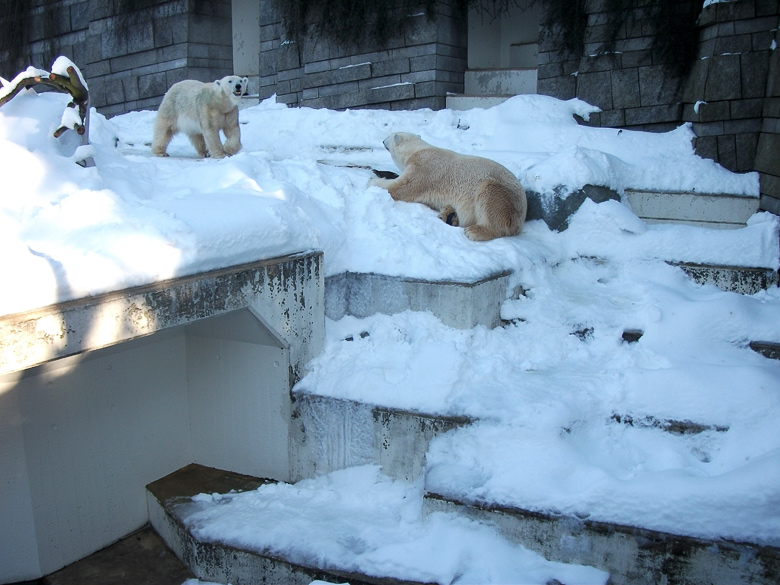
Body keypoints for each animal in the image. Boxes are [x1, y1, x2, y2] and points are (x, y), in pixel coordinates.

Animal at [368, 132, 528, 240]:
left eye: (390, 135)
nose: (382, 140)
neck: (417, 151)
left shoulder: (425, 169)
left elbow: (400, 187)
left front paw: (372, 181)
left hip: (506, 198)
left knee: (490, 197)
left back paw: (474, 231)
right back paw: (449, 214)